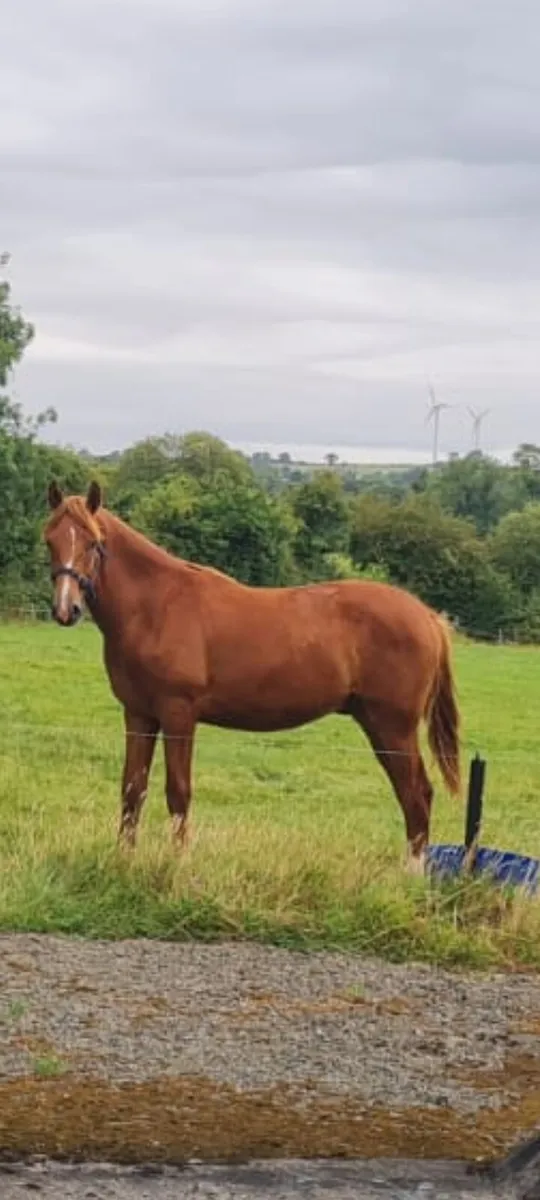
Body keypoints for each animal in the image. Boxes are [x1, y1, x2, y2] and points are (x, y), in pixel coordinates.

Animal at [44, 481, 461, 869]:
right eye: (50, 540)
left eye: (94, 543)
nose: (67, 609)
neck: (156, 606)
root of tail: (427, 616)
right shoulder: (139, 713)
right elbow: (133, 788)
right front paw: (124, 860)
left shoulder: (179, 714)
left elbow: (178, 791)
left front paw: (178, 863)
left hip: (393, 728)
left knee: (416, 794)